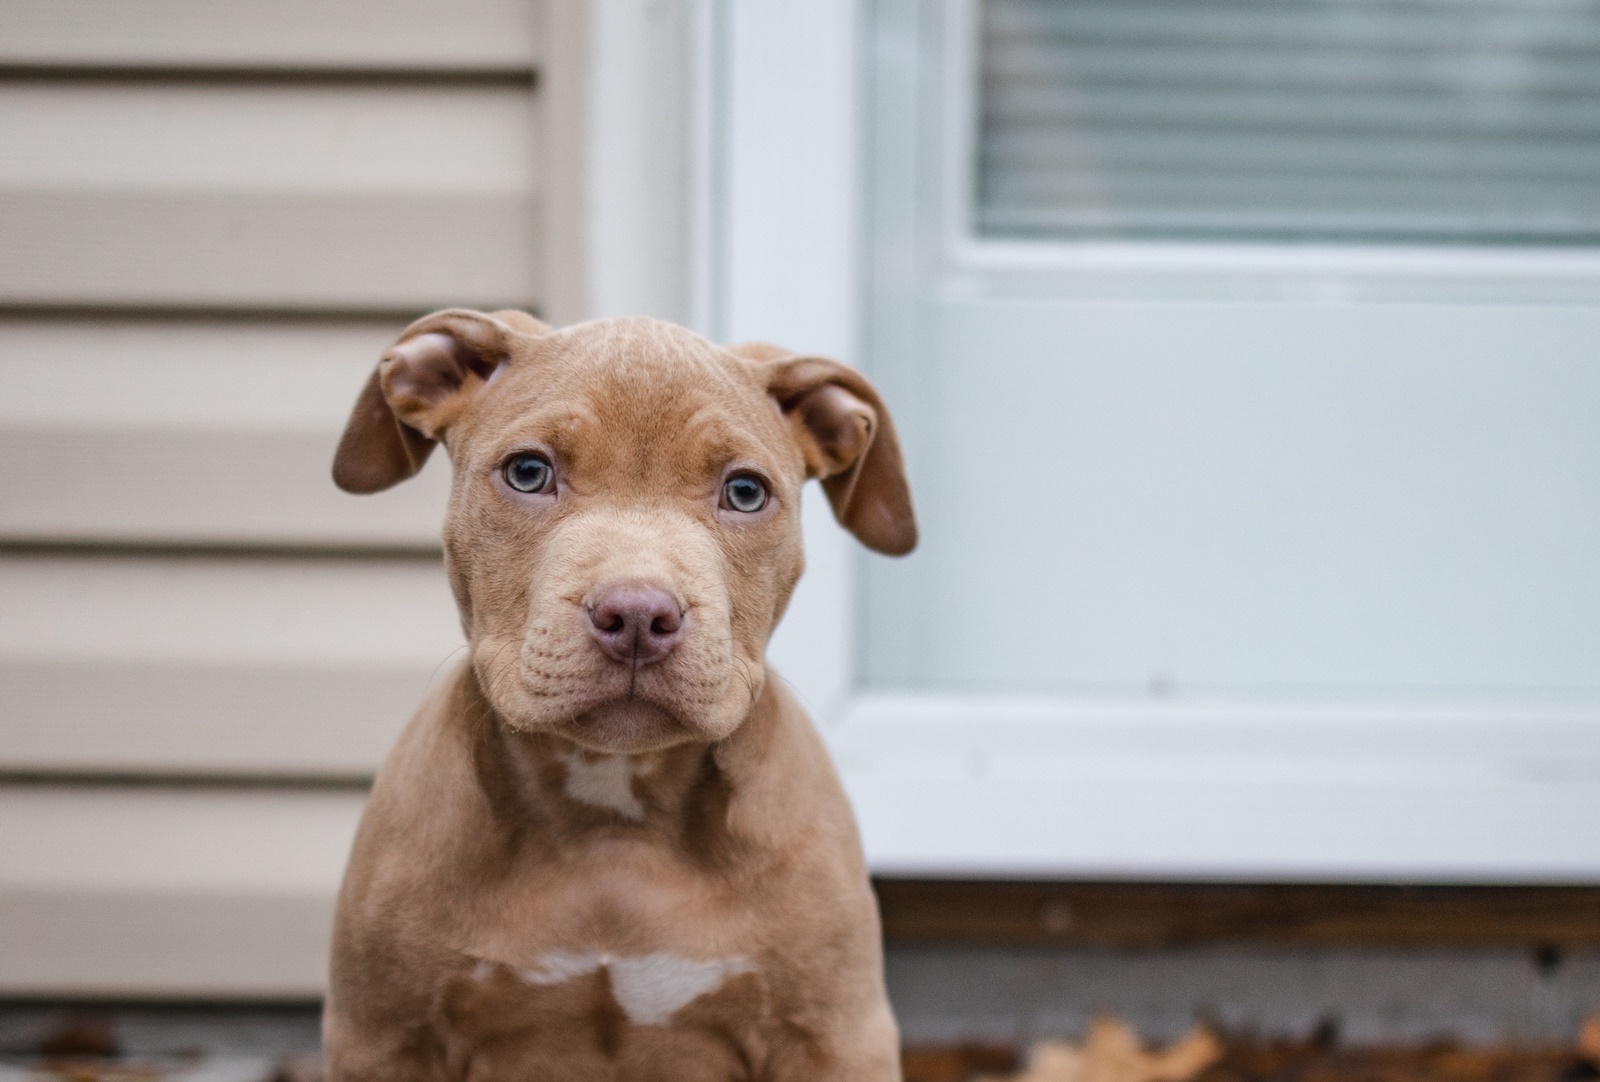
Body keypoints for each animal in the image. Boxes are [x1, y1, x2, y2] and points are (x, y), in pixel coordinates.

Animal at [321, 308, 915, 1075]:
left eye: (745, 491)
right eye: (528, 472)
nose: (637, 614)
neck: (614, 809)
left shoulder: (832, 1037)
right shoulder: (384, 1035)